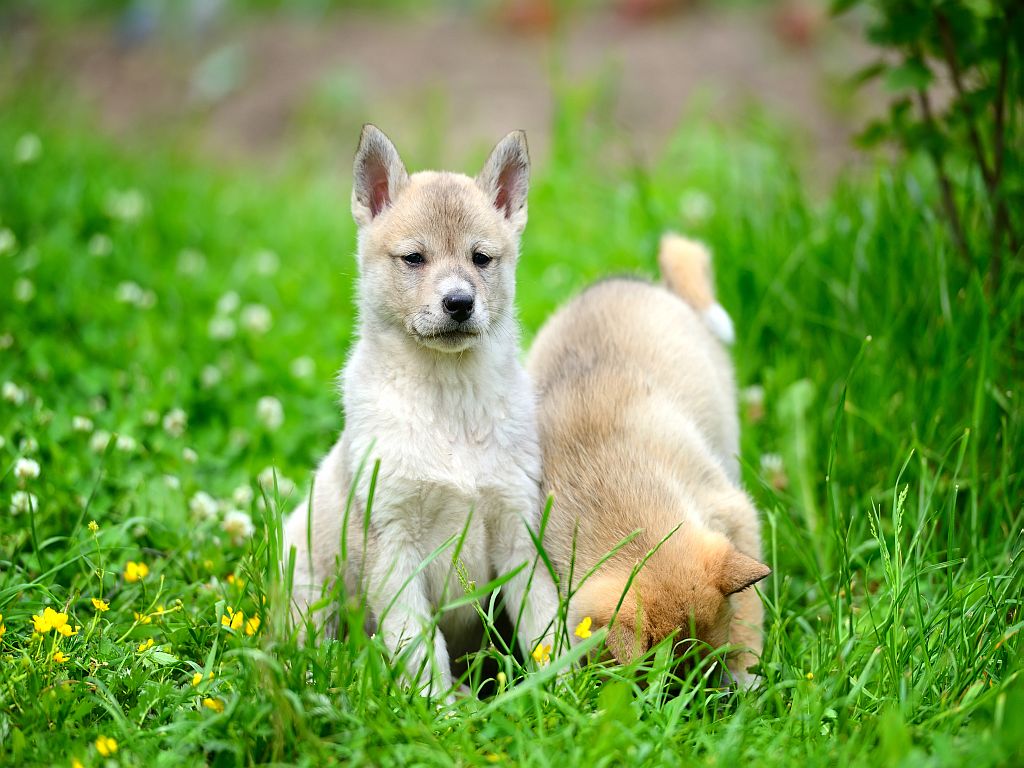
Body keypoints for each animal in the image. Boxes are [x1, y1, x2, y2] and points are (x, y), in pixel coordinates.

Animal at [284, 124, 561, 696]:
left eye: (481, 259)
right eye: (414, 259)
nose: (459, 302)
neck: (448, 402)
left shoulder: (517, 531)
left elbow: (546, 625)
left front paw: (567, 690)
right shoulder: (394, 542)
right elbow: (418, 646)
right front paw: (441, 708)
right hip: (306, 579)